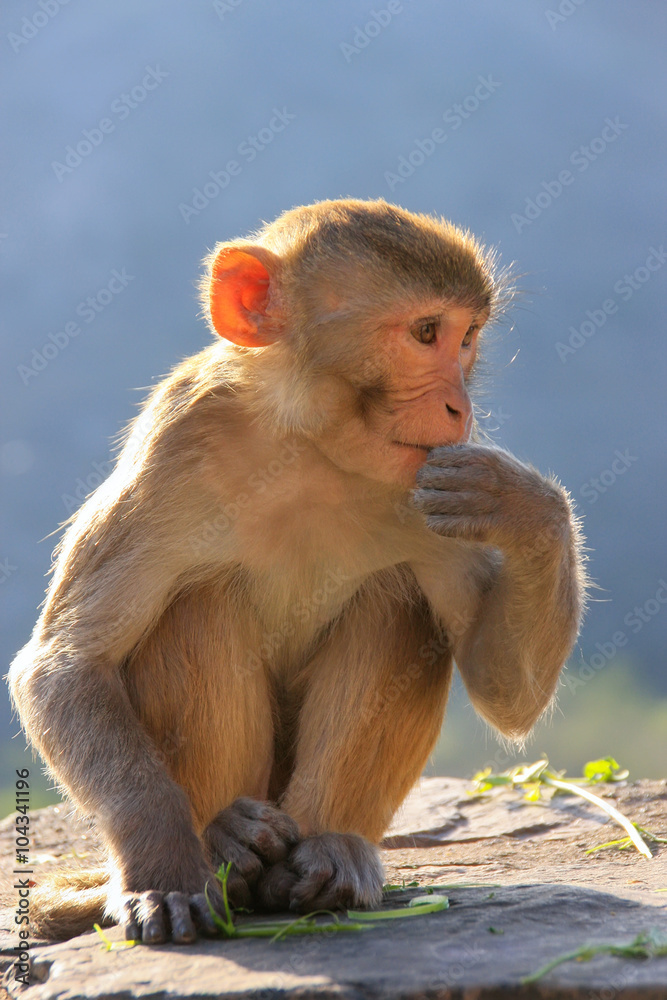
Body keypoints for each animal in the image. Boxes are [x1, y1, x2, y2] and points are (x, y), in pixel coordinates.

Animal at [8, 198, 586, 945]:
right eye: (427, 332)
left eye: (468, 337)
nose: (459, 407)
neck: (308, 445)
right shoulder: (178, 440)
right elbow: (66, 664)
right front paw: (165, 867)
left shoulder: (428, 488)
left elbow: (504, 691)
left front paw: (524, 507)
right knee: (202, 597)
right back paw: (221, 839)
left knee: (394, 593)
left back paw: (330, 850)